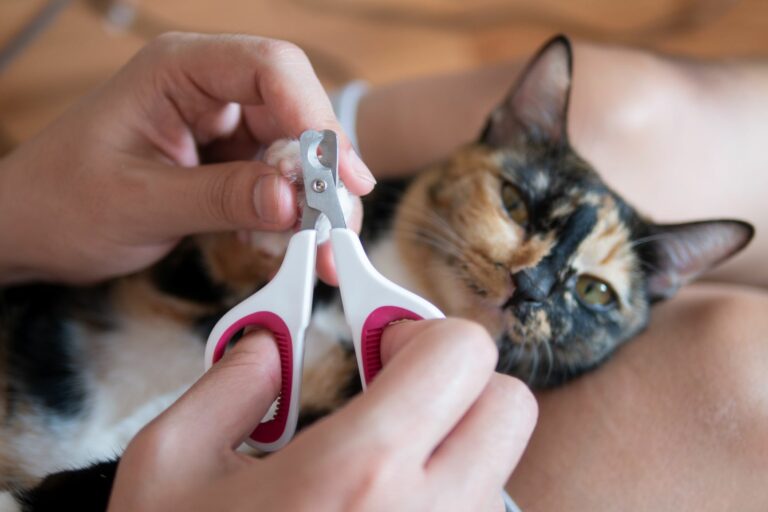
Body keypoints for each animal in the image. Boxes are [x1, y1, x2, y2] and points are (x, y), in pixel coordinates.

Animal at [3, 34, 752, 510]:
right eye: (516, 201)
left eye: (595, 292)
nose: (533, 286)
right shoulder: (166, 274)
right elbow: (216, 257)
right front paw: (281, 171)